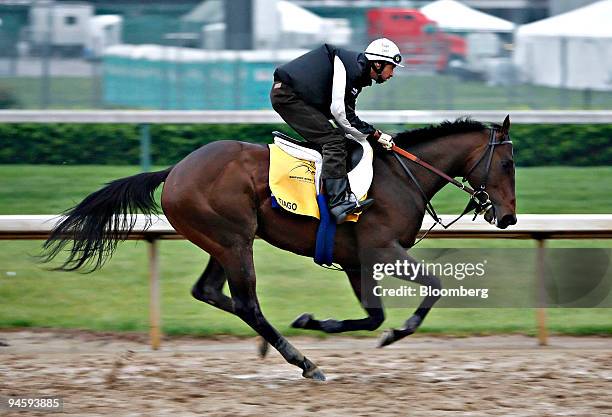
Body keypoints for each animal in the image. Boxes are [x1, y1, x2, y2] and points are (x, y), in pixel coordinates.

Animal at [41, 115, 516, 378]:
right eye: (509, 163)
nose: (509, 217)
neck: (400, 177)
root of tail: (175, 170)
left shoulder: (355, 261)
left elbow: (372, 316)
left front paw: (315, 320)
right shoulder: (379, 249)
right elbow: (433, 286)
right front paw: (398, 332)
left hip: (222, 242)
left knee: (211, 292)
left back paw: (278, 343)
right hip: (234, 240)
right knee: (247, 303)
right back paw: (303, 361)